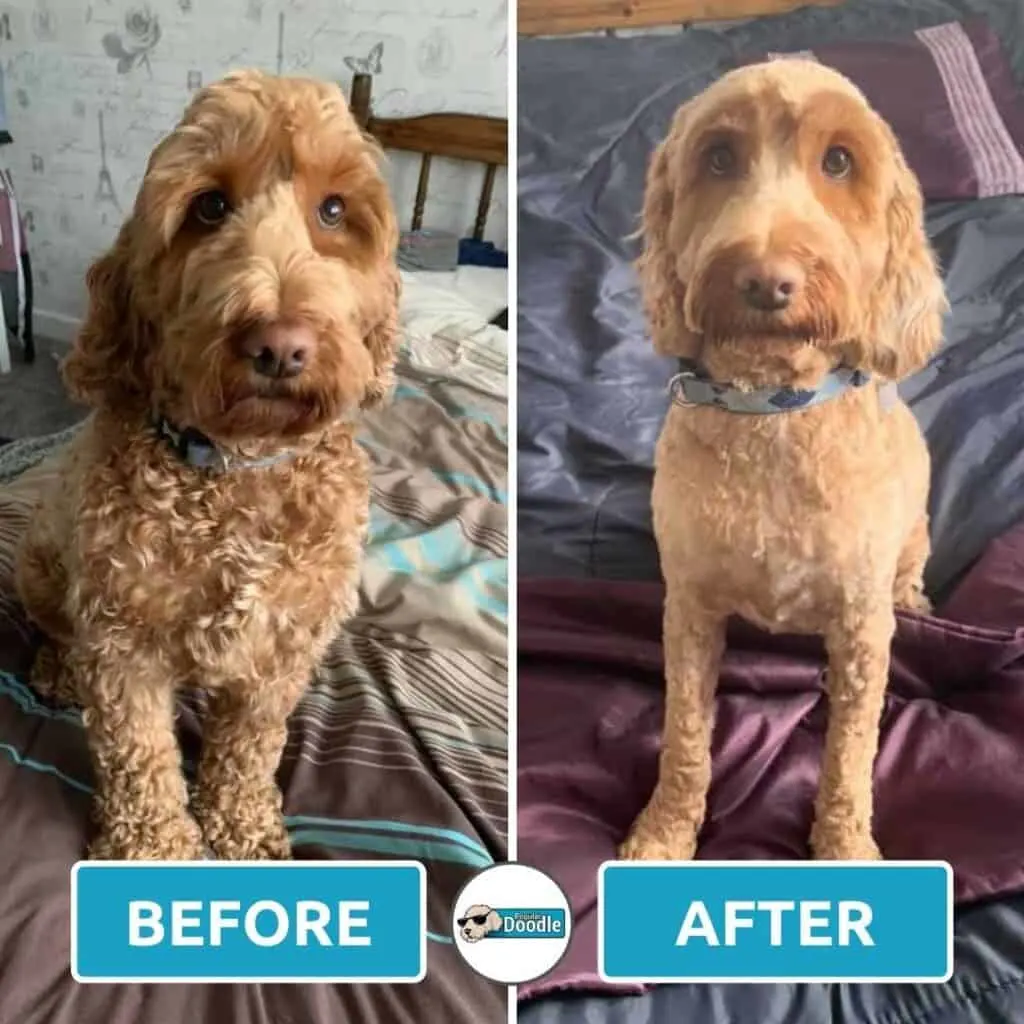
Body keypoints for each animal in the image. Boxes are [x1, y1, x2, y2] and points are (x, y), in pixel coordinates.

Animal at [17, 68, 399, 860]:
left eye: (335, 210)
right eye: (209, 206)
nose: (280, 346)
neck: (235, 469)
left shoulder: (281, 647)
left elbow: (250, 745)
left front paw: (241, 823)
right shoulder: (122, 642)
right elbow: (139, 755)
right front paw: (154, 847)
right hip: (39, 563)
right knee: (55, 632)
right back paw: (55, 668)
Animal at [614, 59, 942, 864]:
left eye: (839, 161)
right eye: (718, 158)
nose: (766, 278)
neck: (774, 412)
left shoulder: (860, 632)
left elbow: (850, 755)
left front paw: (845, 847)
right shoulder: (690, 610)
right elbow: (684, 739)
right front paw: (664, 834)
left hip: (912, 540)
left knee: (910, 575)